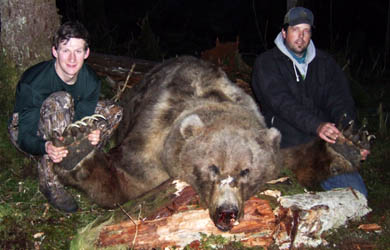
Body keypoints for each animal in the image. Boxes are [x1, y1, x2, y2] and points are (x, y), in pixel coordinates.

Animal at [53, 55, 282, 231]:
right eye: (213, 167)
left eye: (246, 171)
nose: (227, 210)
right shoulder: (154, 131)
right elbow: (128, 179)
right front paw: (76, 153)